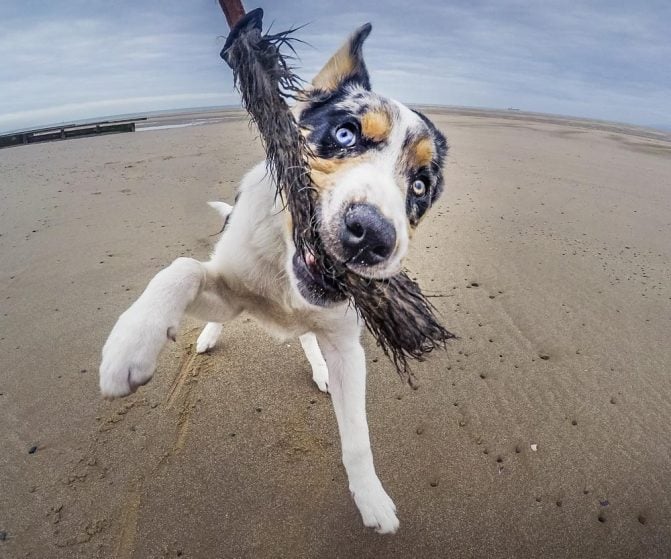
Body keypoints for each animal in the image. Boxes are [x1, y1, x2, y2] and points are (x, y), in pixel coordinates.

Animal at [100, 24, 446, 536]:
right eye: (345, 133)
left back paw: (318, 368)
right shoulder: (227, 293)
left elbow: (357, 436)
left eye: (420, 186)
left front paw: (372, 500)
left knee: (307, 339)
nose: (371, 237)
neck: (287, 268)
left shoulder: (346, 343)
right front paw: (131, 343)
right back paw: (204, 338)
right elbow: (182, 268)